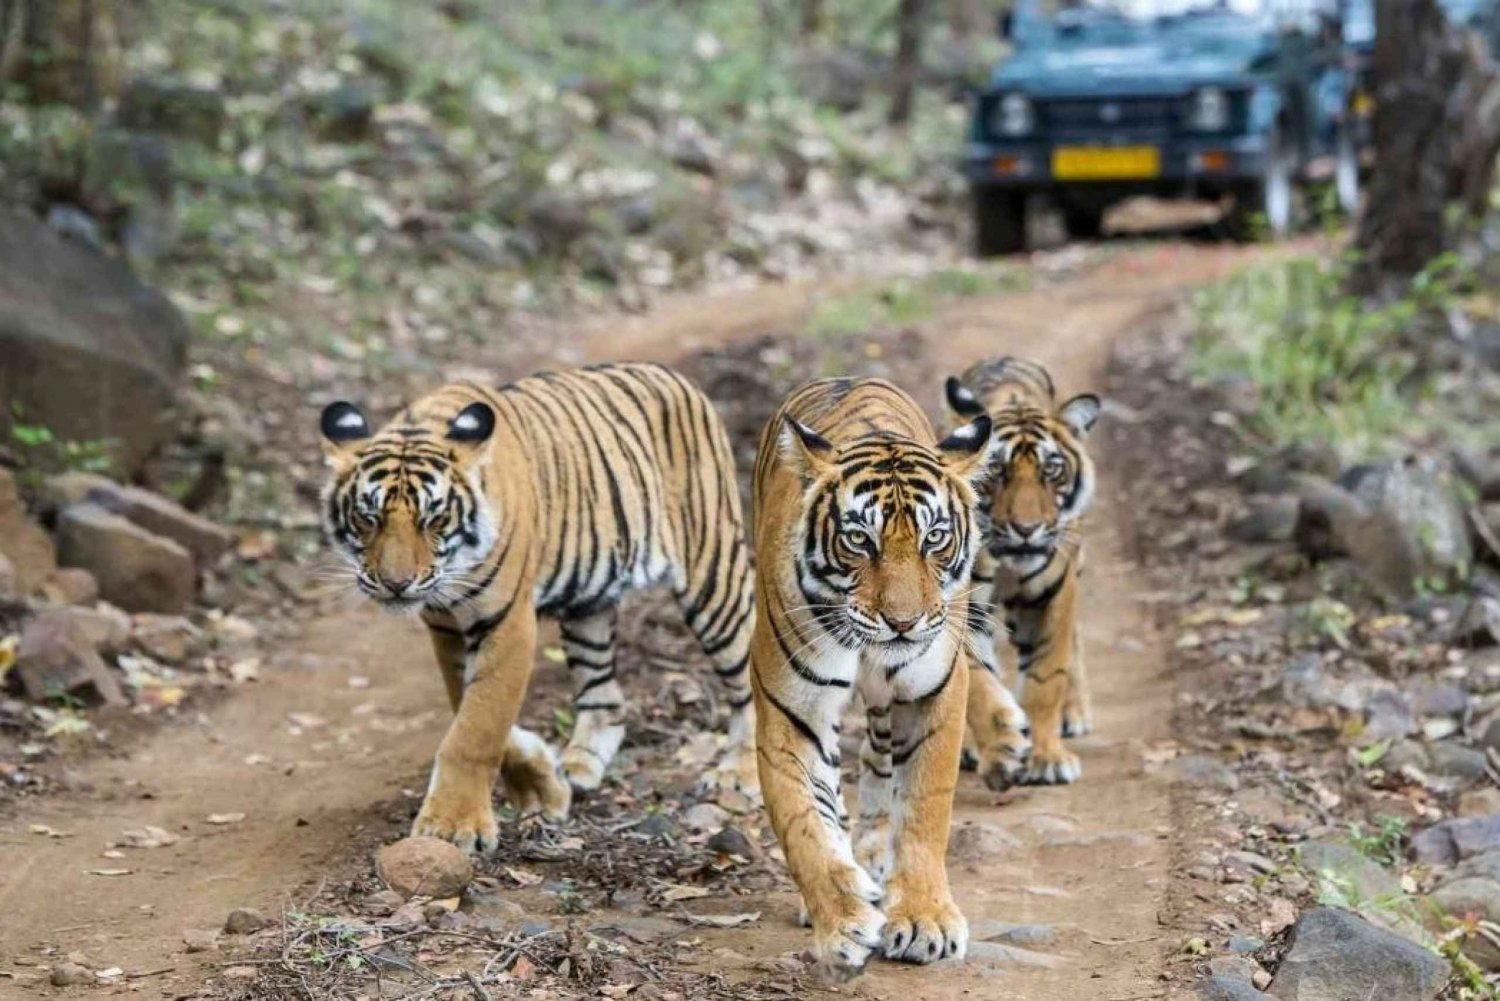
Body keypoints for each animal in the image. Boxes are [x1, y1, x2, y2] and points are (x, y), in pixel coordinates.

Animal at [318, 362, 757, 853]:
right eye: (367, 517)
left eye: (435, 518)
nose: (396, 584)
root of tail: (673, 376)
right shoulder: (447, 627)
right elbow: (468, 707)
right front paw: (542, 785)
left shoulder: (507, 621)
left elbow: (478, 725)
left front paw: (453, 826)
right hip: (589, 603)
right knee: (606, 697)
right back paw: (579, 767)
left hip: (714, 573)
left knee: (750, 676)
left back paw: (739, 774)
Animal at [749, 377, 997, 977]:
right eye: (861, 540)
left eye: (935, 538)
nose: (903, 622)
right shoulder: (791, 712)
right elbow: (805, 823)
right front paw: (842, 921)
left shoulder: (934, 694)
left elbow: (925, 808)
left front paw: (926, 920)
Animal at [944, 356, 1101, 787]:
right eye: (998, 471)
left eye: (1051, 470)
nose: (1026, 529)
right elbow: (978, 681)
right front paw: (1002, 749)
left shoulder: (1054, 593)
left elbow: (1046, 677)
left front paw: (1048, 757)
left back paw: (1074, 714)